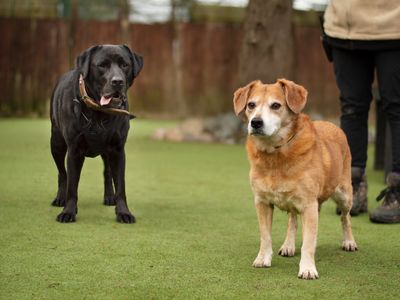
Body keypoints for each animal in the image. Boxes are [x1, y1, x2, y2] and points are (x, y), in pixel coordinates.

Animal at [50, 44, 144, 223]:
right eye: (102, 65)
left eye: (125, 65)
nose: (117, 81)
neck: (99, 113)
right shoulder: (74, 150)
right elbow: (72, 184)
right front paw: (68, 211)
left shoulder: (117, 150)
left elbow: (120, 184)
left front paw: (123, 212)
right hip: (56, 143)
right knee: (62, 173)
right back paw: (60, 198)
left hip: (106, 152)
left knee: (107, 172)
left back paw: (109, 196)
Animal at [233, 79, 358, 278]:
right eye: (251, 105)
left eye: (276, 105)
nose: (256, 122)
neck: (275, 156)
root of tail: (332, 124)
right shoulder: (262, 202)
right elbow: (265, 236)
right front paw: (263, 258)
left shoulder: (309, 204)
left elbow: (308, 242)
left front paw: (307, 268)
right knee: (292, 219)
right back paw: (288, 245)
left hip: (344, 195)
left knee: (345, 218)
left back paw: (349, 242)